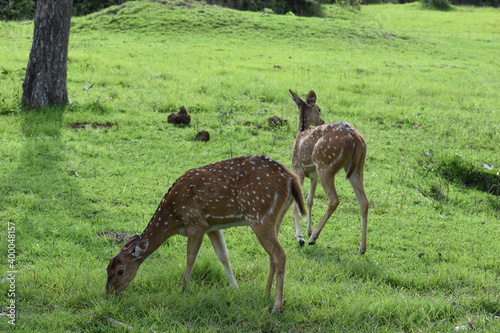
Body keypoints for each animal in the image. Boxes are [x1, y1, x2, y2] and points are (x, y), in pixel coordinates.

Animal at [107, 155, 306, 312]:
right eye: (107, 268)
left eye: (120, 271)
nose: (109, 292)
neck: (174, 218)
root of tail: (291, 177)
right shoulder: (213, 226)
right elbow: (223, 256)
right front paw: (235, 287)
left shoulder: (196, 223)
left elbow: (191, 257)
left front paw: (184, 287)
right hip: (275, 216)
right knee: (272, 254)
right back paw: (265, 293)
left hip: (258, 215)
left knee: (279, 254)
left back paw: (276, 306)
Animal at [290, 89, 368, 253]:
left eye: (319, 109)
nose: (321, 121)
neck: (301, 132)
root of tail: (355, 138)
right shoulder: (312, 175)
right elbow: (309, 200)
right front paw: (307, 230)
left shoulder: (298, 169)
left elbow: (296, 203)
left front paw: (300, 237)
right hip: (357, 167)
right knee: (364, 201)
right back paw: (362, 249)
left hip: (325, 165)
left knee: (334, 200)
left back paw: (313, 238)